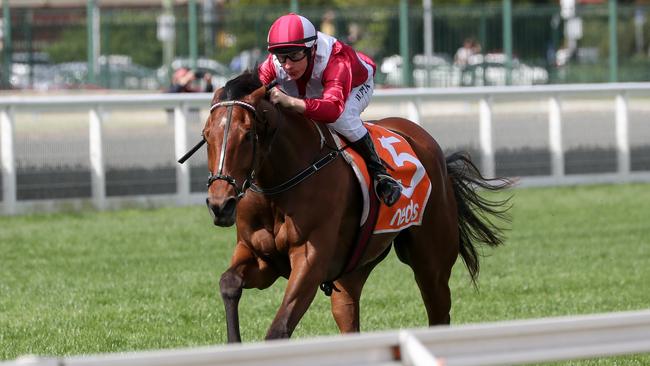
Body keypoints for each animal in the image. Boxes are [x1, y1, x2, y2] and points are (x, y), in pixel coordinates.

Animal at [176, 72, 506, 344]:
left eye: (247, 135)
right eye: (206, 135)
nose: (220, 204)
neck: (278, 183)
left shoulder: (310, 260)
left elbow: (278, 330)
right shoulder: (260, 256)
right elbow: (228, 282)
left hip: (431, 263)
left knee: (438, 313)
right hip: (353, 271)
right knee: (349, 316)